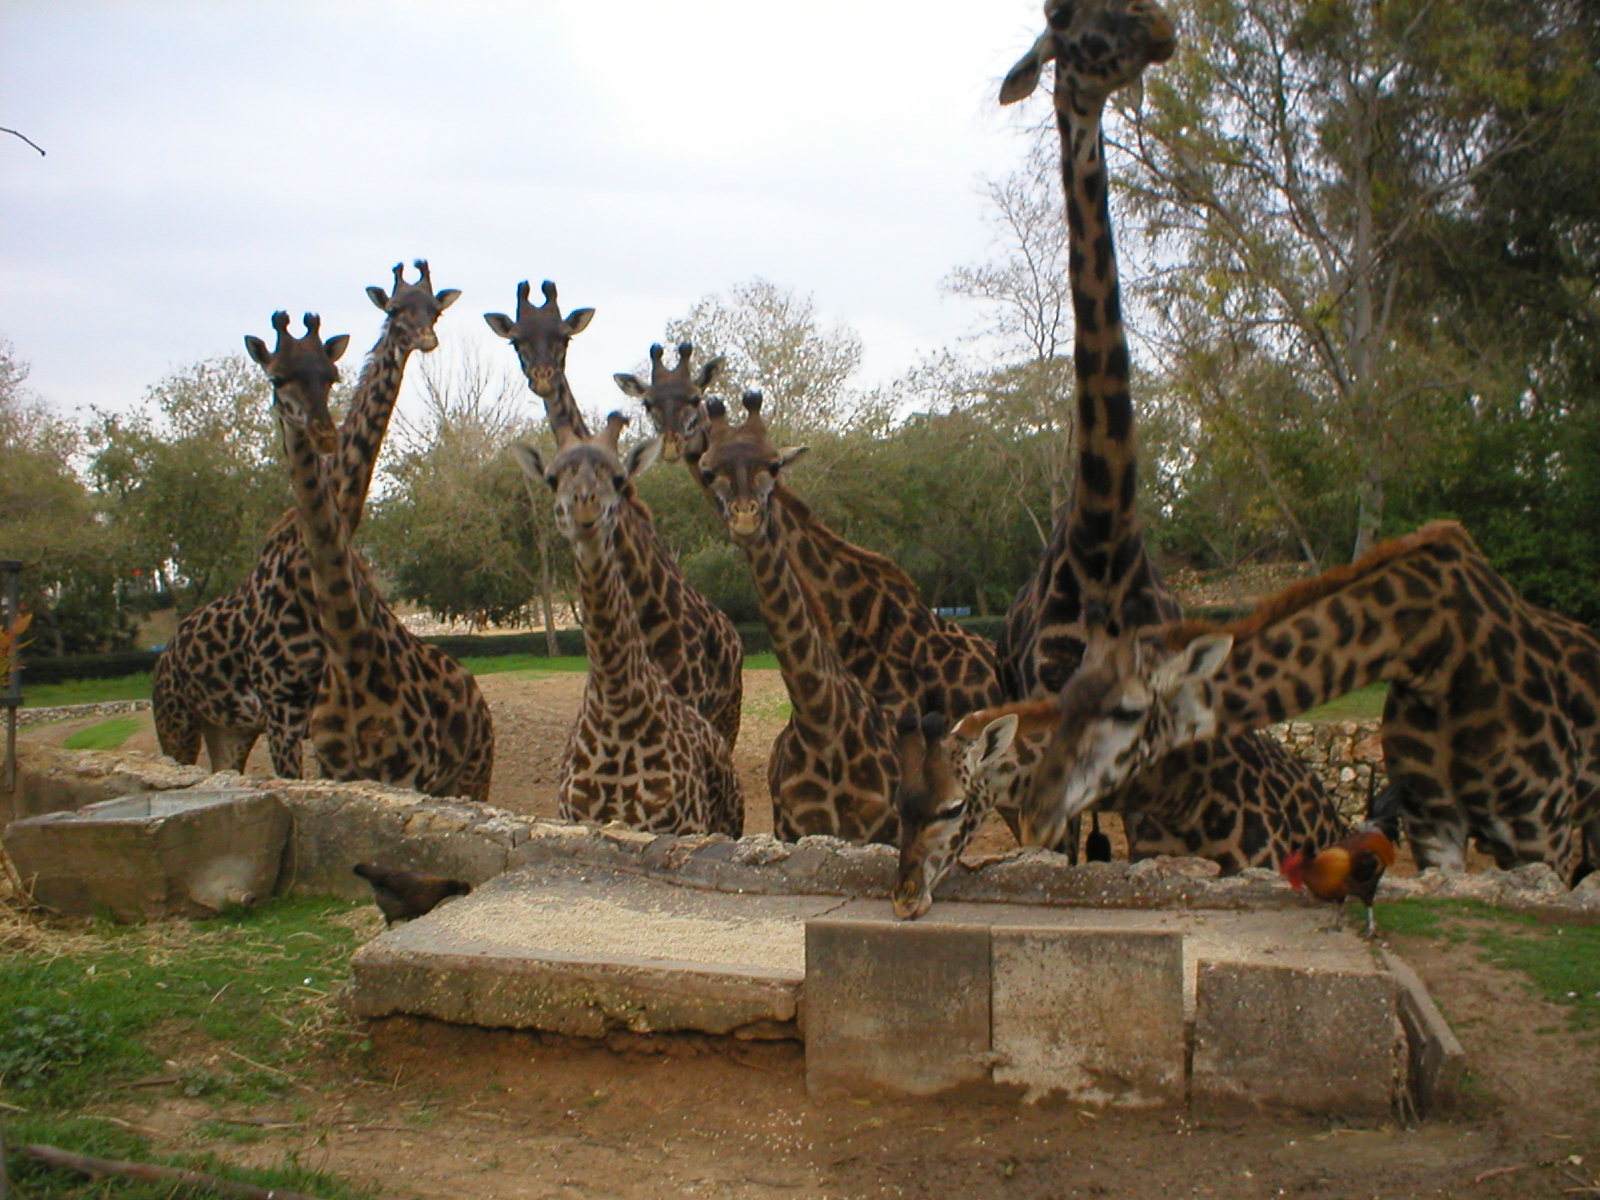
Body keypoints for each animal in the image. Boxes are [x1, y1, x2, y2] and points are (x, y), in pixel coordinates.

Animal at [153, 262, 460, 776]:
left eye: (434, 309)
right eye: (395, 309)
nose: (426, 339)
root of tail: (164, 652)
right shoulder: (282, 708)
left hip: (230, 729)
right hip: (175, 723)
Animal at [246, 311, 493, 801]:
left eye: (331, 376)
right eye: (276, 377)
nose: (323, 432)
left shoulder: (407, 772)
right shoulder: (293, 723)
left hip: (469, 776)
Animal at [512, 416, 742, 836]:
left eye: (619, 478)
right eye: (552, 479)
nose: (586, 509)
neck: (616, 710)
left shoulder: (679, 826)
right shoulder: (577, 819)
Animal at [697, 394, 898, 844]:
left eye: (773, 465)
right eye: (708, 472)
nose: (745, 518)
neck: (822, 725)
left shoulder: (883, 830)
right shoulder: (794, 829)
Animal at [1024, 521, 1600, 885]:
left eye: (1127, 712)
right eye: (1063, 696)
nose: (1041, 808)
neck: (1437, 651)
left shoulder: (1539, 827)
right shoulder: (1435, 827)